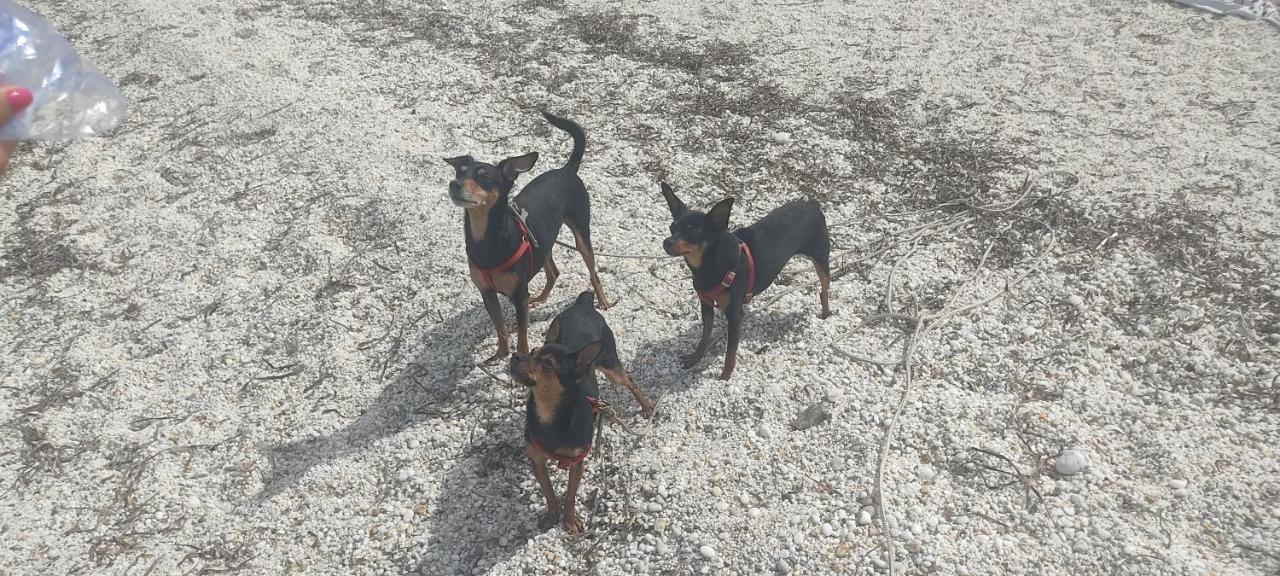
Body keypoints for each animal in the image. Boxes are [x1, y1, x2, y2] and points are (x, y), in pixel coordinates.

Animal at [448, 113, 611, 363]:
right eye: (459, 172)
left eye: (484, 177)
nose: (454, 185)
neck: (486, 239)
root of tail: (567, 170)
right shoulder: (488, 294)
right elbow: (501, 328)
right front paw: (500, 354)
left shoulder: (519, 296)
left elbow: (522, 334)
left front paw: (522, 357)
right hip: (542, 242)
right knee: (553, 271)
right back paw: (542, 297)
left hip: (582, 235)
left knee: (593, 273)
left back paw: (602, 300)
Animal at [506, 293, 655, 535]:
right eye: (532, 352)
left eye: (547, 365)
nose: (515, 356)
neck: (550, 413)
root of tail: (583, 305)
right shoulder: (537, 460)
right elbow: (549, 493)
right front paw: (552, 516)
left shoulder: (577, 462)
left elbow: (570, 495)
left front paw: (568, 521)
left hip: (610, 365)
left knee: (630, 382)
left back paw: (647, 406)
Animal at [660, 184, 829, 381]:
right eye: (672, 227)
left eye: (693, 232)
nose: (666, 242)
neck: (711, 263)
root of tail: (812, 204)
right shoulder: (706, 306)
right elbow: (704, 337)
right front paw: (694, 358)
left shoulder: (735, 315)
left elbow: (730, 352)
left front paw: (725, 376)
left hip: (820, 258)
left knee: (824, 289)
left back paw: (826, 314)